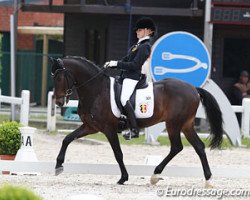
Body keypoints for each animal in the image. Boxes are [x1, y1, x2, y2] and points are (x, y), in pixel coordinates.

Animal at [50, 55, 223, 186]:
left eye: (59, 77)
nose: (58, 102)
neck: (97, 90)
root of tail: (194, 89)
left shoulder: (108, 129)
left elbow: (118, 153)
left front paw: (123, 178)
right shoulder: (90, 126)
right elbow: (67, 139)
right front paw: (58, 166)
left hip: (173, 124)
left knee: (176, 147)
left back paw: (155, 175)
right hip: (186, 125)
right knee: (199, 147)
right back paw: (208, 180)